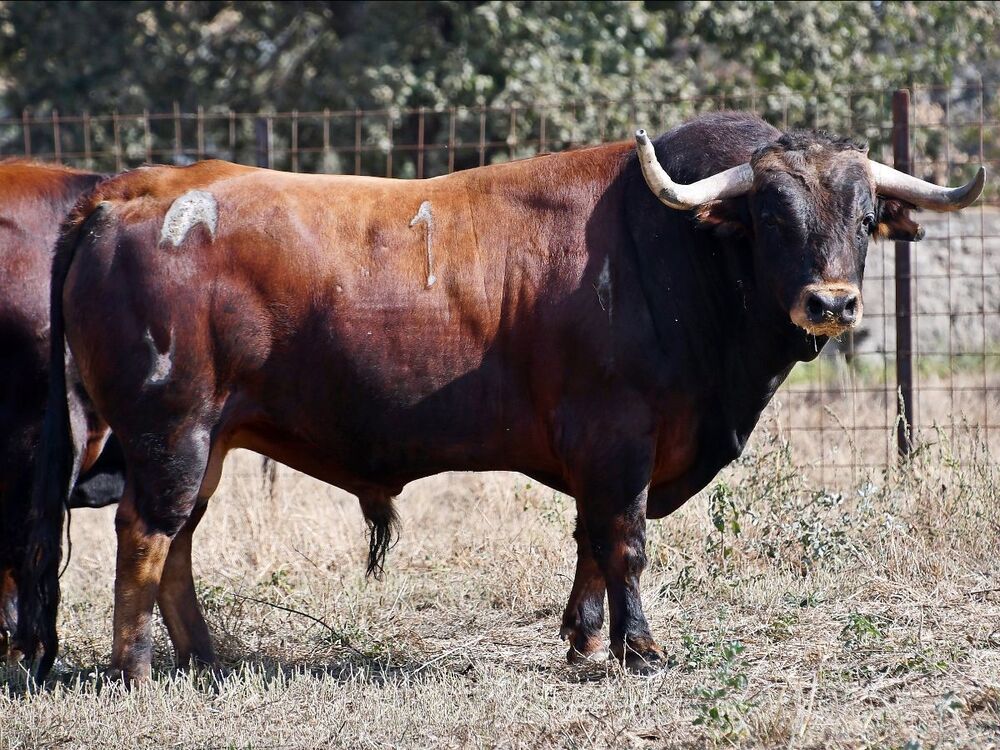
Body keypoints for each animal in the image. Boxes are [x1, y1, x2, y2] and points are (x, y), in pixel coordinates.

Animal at [17, 111, 984, 680]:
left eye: (865, 218)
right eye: (774, 217)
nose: (833, 303)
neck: (670, 250)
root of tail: (130, 192)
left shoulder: (603, 454)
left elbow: (590, 542)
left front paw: (584, 638)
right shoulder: (618, 439)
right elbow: (624, 541)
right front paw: (640, 647)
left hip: (209, 437)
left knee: (177, 538)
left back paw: (205, 658)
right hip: (170, 426)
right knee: (146, 533)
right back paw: (136, 667)